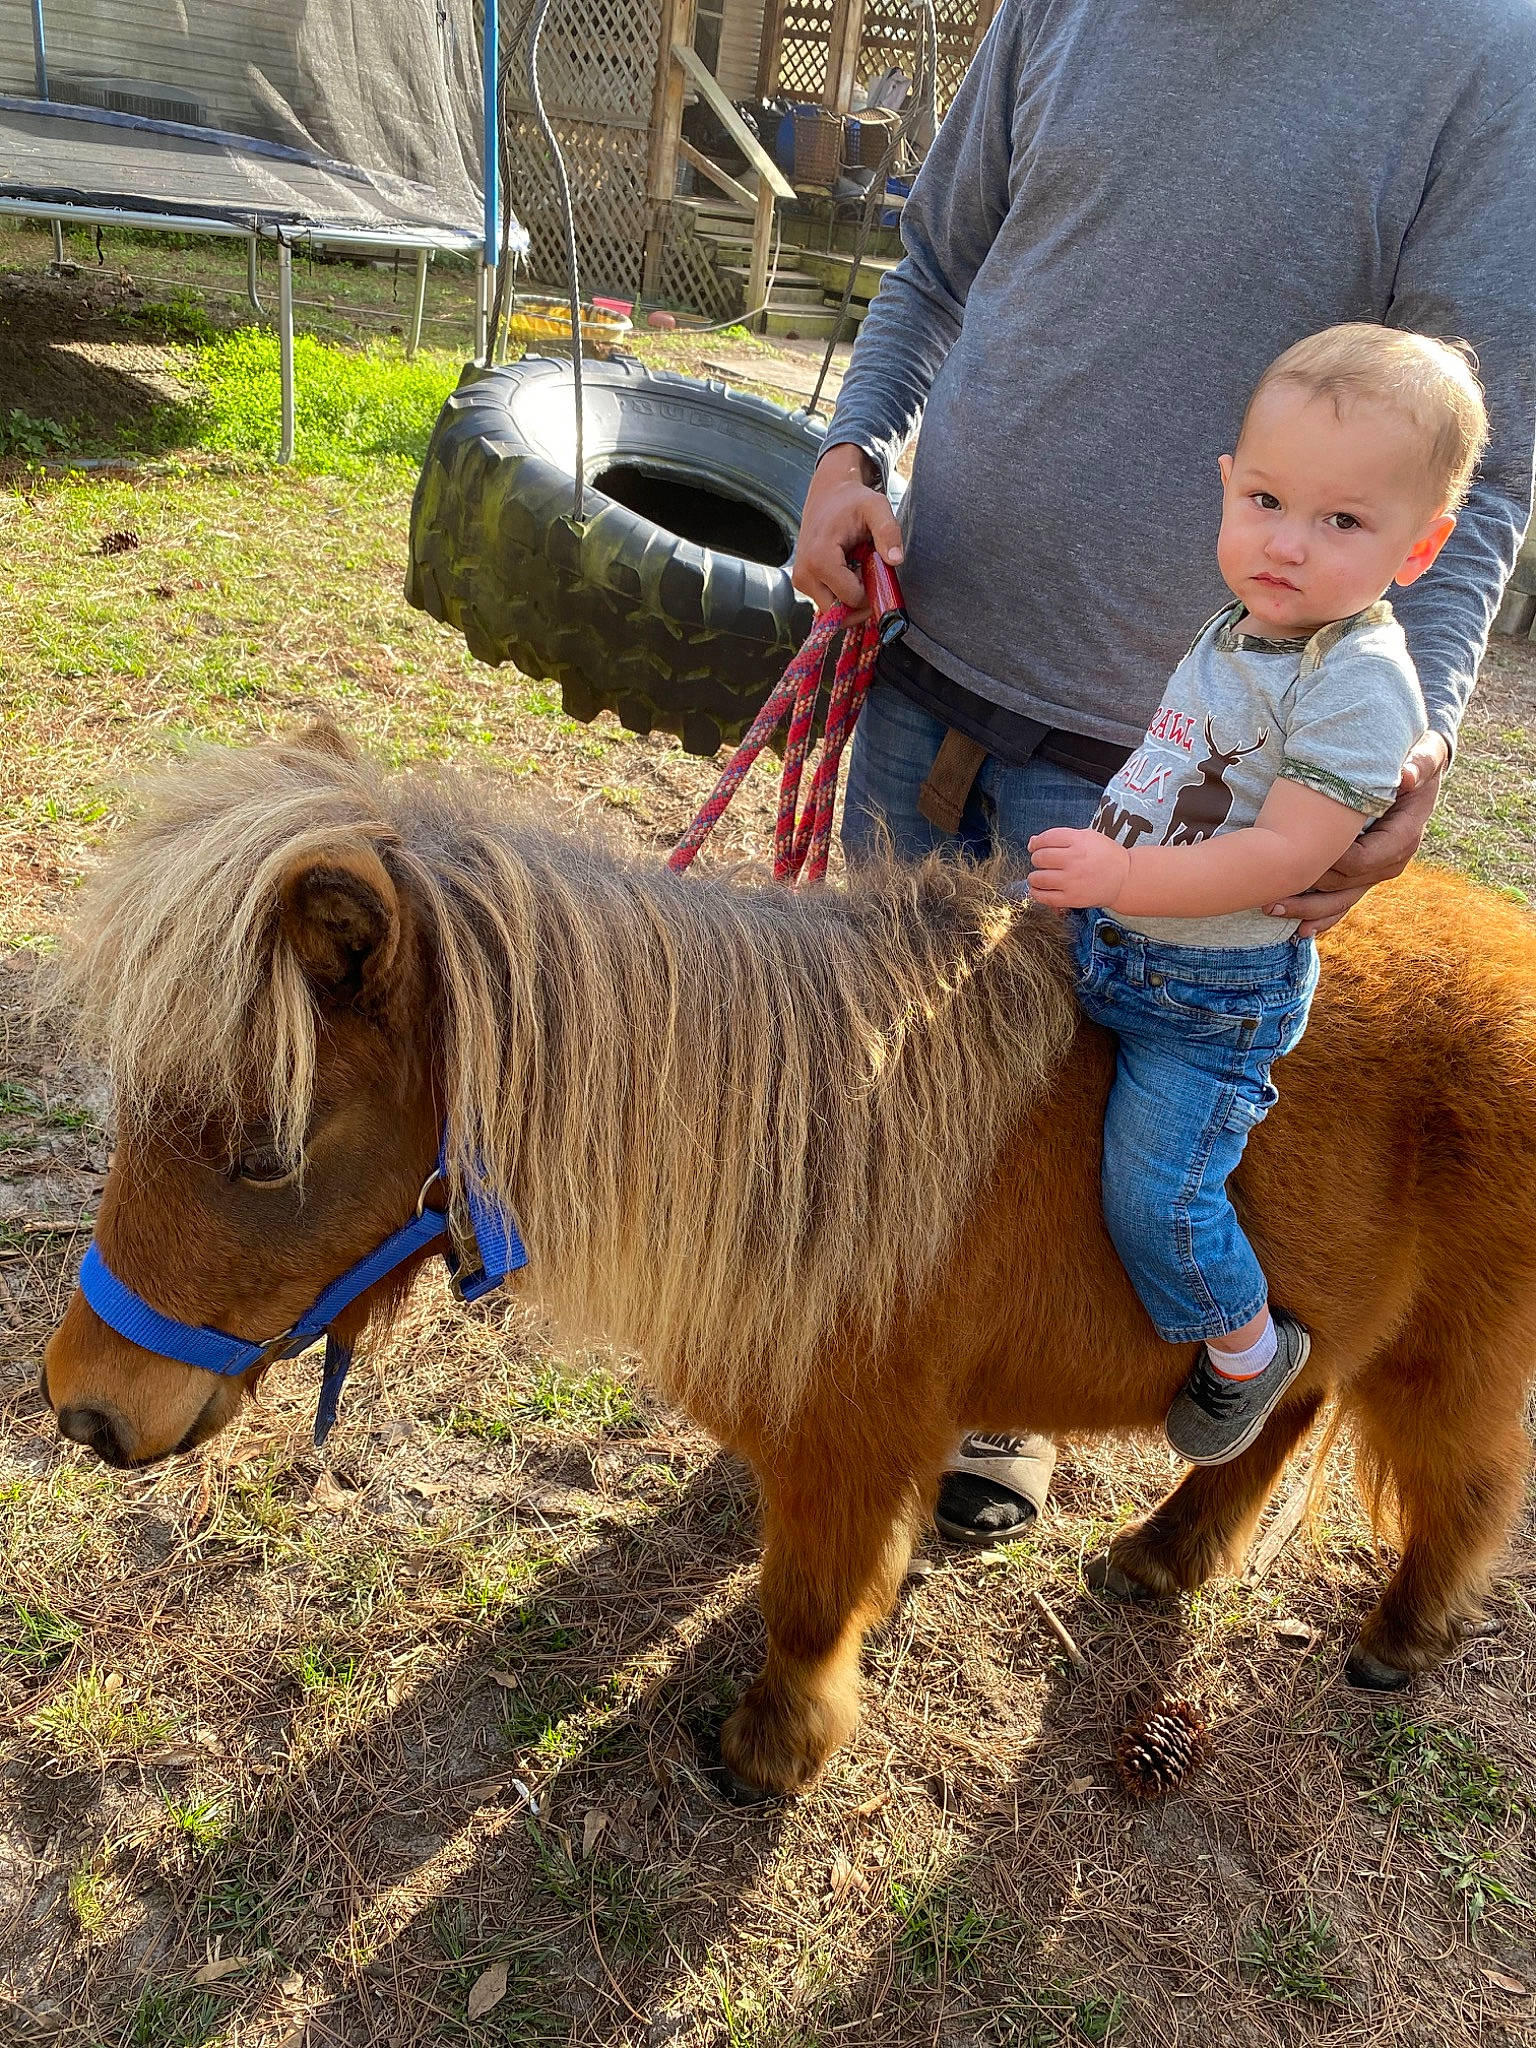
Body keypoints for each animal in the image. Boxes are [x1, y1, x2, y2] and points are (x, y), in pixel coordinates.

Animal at [40, 724, 1536, 1799]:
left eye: (263, 1152)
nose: (82, 1406)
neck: (815, 1142)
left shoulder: (855, 1450)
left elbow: (809, 1603)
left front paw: (771, 1754)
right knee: (1278, 1412)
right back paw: (1166, 1557)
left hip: (1449, 1355)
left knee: (1459, 1487)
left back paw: (1400, 1641)